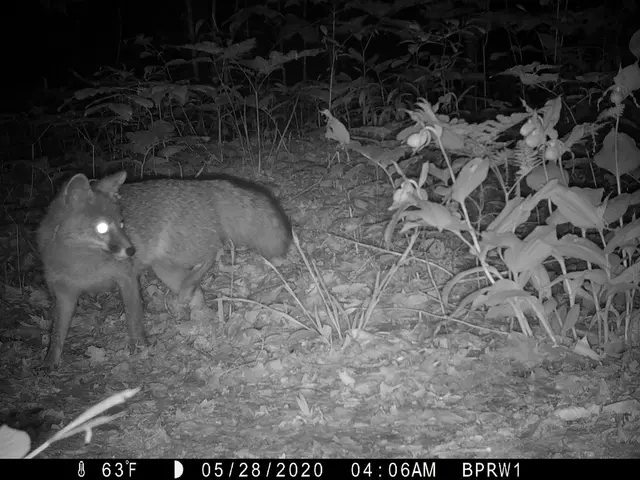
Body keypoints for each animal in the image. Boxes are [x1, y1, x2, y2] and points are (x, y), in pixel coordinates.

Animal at [37, 170, 292, 370]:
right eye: (101, 228)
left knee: (215, 251)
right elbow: (57, 335)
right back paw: (196, 313)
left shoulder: (126, 277)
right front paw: (49, 364)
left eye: (121, 223)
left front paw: (140, 349)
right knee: (198, 291)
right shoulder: (64, 293)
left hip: (183, 254)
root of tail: (201, 185)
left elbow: (134, 319)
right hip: (165, 269)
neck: (82, 263)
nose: (131, 250)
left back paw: (189, 294)